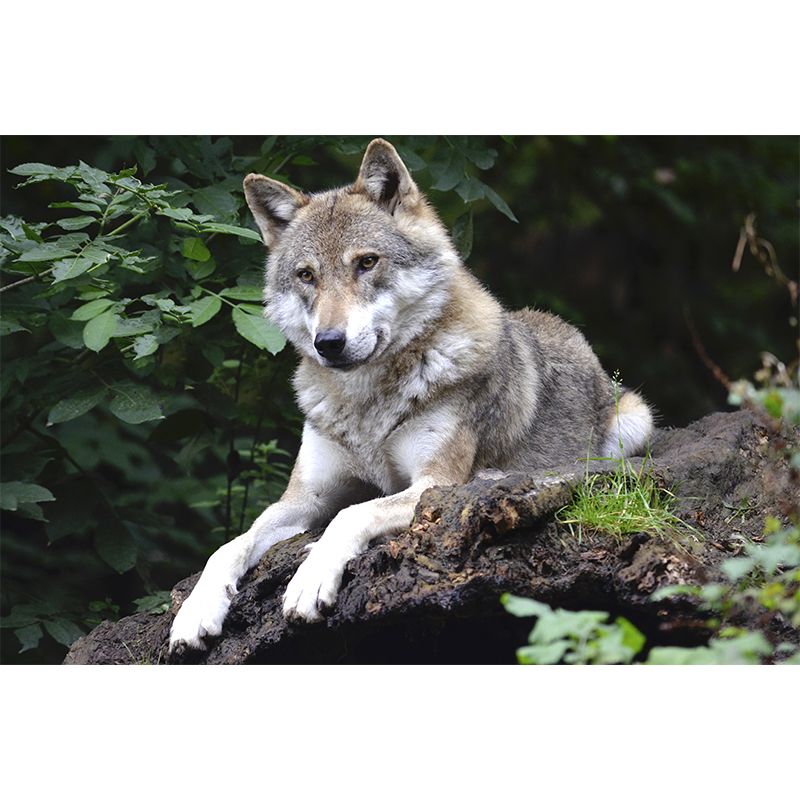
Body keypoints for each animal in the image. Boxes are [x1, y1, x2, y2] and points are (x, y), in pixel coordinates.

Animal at [168, 138, 654, 652]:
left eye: (366, 262)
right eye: (306, 276)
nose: (328, 342)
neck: (366, 405)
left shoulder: (431, 484)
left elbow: (351, 514)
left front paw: (309, 579)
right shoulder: (304, 498)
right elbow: (229, 545)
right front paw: (196, 611)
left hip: (634, 421)